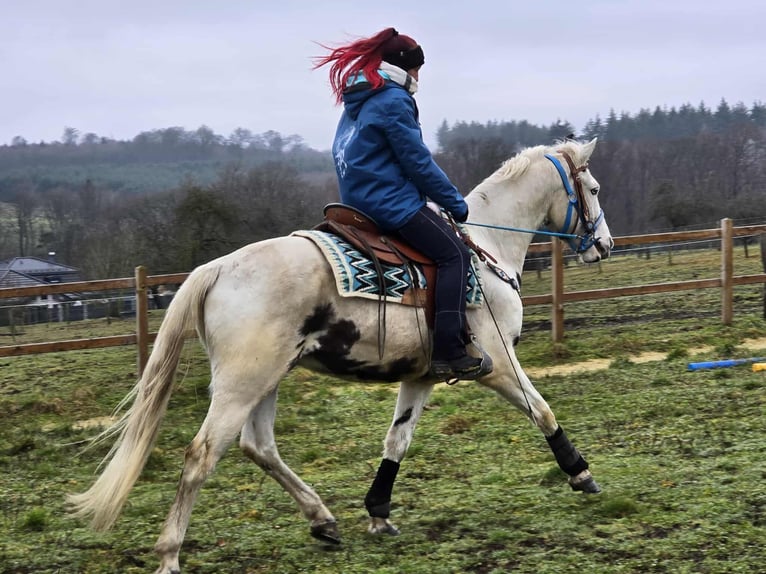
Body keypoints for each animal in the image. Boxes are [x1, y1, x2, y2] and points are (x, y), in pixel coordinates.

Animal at [68, 137, 613, 574]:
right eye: (594, 188)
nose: (604, 245)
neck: (486, 246)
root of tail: (218, 268)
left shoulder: (421, 376)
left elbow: (397, 440)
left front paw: (378, 513)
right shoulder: (497, 362)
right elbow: (542, 409)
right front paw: (580, 472)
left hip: (267, 379)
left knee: (259, 447)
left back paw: (323, 520)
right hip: (242, 384)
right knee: (203, 454)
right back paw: (170, 554)